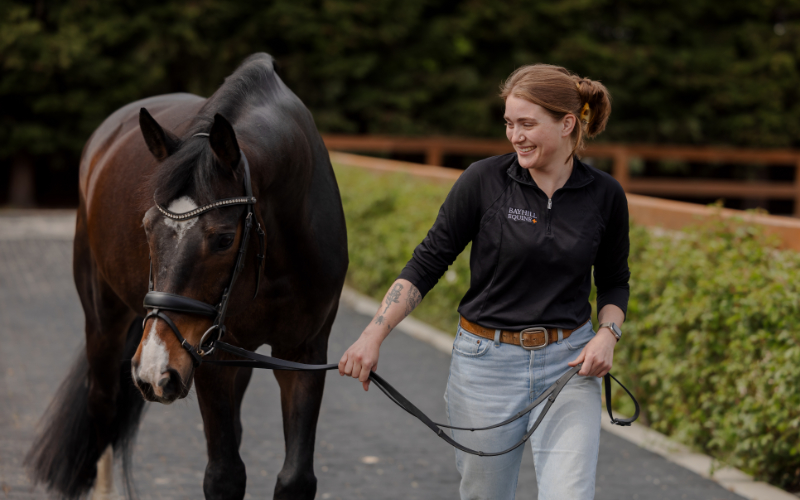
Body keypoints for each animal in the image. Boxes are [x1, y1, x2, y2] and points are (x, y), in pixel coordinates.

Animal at [25, 52, 349, 500]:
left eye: (225, 238)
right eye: (147, 227)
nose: (154, 371)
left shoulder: (304, 354)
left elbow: (296, 477)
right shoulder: (206, 355)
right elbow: (225, 475)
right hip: (104, 321)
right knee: (103, 408)